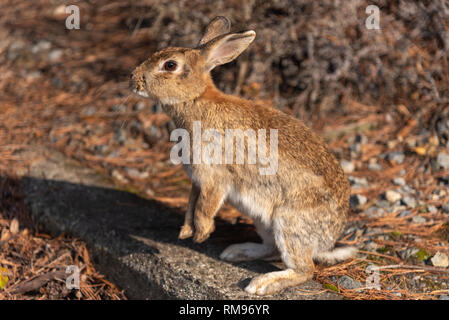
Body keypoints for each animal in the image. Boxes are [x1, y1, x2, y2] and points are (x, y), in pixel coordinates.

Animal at [129, 15, 354, 296]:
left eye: (170, 65)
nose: (133, 79)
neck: (196, 100)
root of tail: (328, 239)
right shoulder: (196, 181)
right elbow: (192, 203)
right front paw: (186, 232)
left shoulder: (214, 178)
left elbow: (205, 206)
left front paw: (202, 234)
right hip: (264, 221)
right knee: (271, 249)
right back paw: (237, 252)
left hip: (289, 222)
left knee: (304, 269)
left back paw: (262, 284)